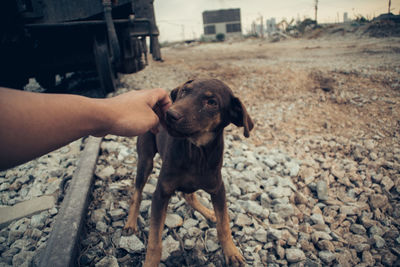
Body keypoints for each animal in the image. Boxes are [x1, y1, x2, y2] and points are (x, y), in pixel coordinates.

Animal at [122, 78, 253, 266]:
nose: (170, 114)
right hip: (145, 160)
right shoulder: (162, 192)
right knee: (137, 193)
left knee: (188, 195)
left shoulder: (218, 188)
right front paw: (150, 262)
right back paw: (131, 223)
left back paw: (209, 212)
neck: (195, 151)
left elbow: (224, 225)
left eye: (212, 102)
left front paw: (232, 252)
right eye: (185, 90)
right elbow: (155, 241)